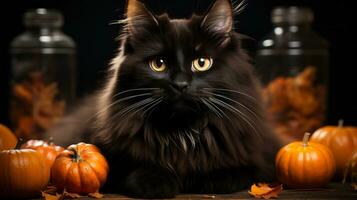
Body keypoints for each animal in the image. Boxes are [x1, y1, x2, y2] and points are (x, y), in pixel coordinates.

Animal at [47, 0, 280, 198]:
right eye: (158, 64)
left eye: (202, 62)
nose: (180, 84)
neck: (182, 132)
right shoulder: (111, 158)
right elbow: (136, 168)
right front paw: (157, 182)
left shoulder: (261, 158)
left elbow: (237, 171)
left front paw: (211, 178)